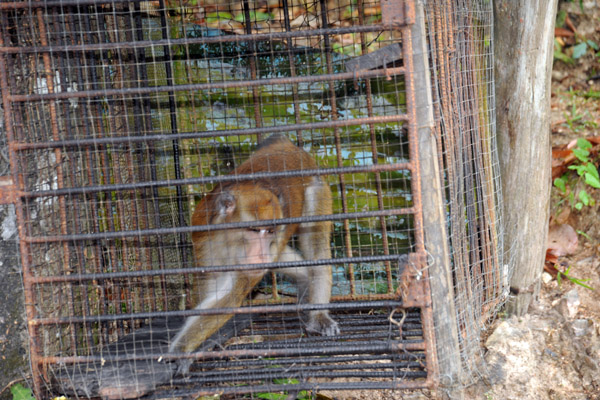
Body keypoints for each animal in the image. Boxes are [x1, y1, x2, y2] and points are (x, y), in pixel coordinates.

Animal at [169, 134, 340, 368]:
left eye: (269, 231)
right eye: (254, 230)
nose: (261, 252)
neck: (230, 242)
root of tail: (289, 147)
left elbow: (231, 295)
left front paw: (181, 349)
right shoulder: (204, 235)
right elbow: (210, 282)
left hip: (316, 188)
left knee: (317, 249)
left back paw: (318, 314)